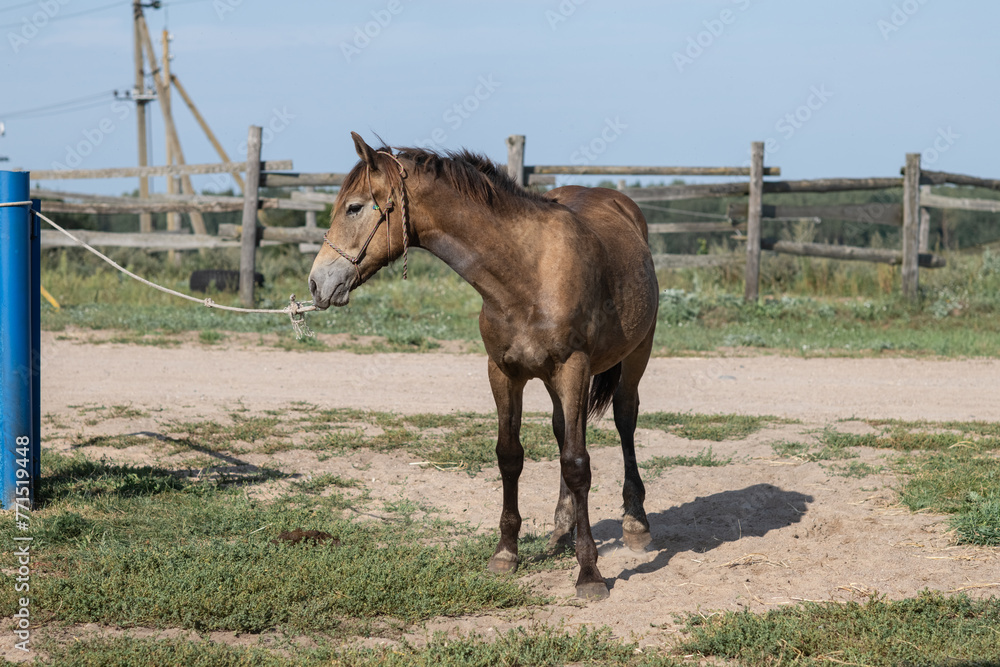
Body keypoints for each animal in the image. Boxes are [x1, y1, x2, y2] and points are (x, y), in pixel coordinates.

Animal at [309, 132, 659, 599]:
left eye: (354, 207)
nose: (317, 283)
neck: (526, 273)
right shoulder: (503, 372)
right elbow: (510, 456)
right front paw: (506, 553)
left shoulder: (573, 369)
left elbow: (577, 463)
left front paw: (589, 572)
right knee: (562, 430)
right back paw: (561, 530)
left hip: (636, 353)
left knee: (624, 419)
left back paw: (635, 523)